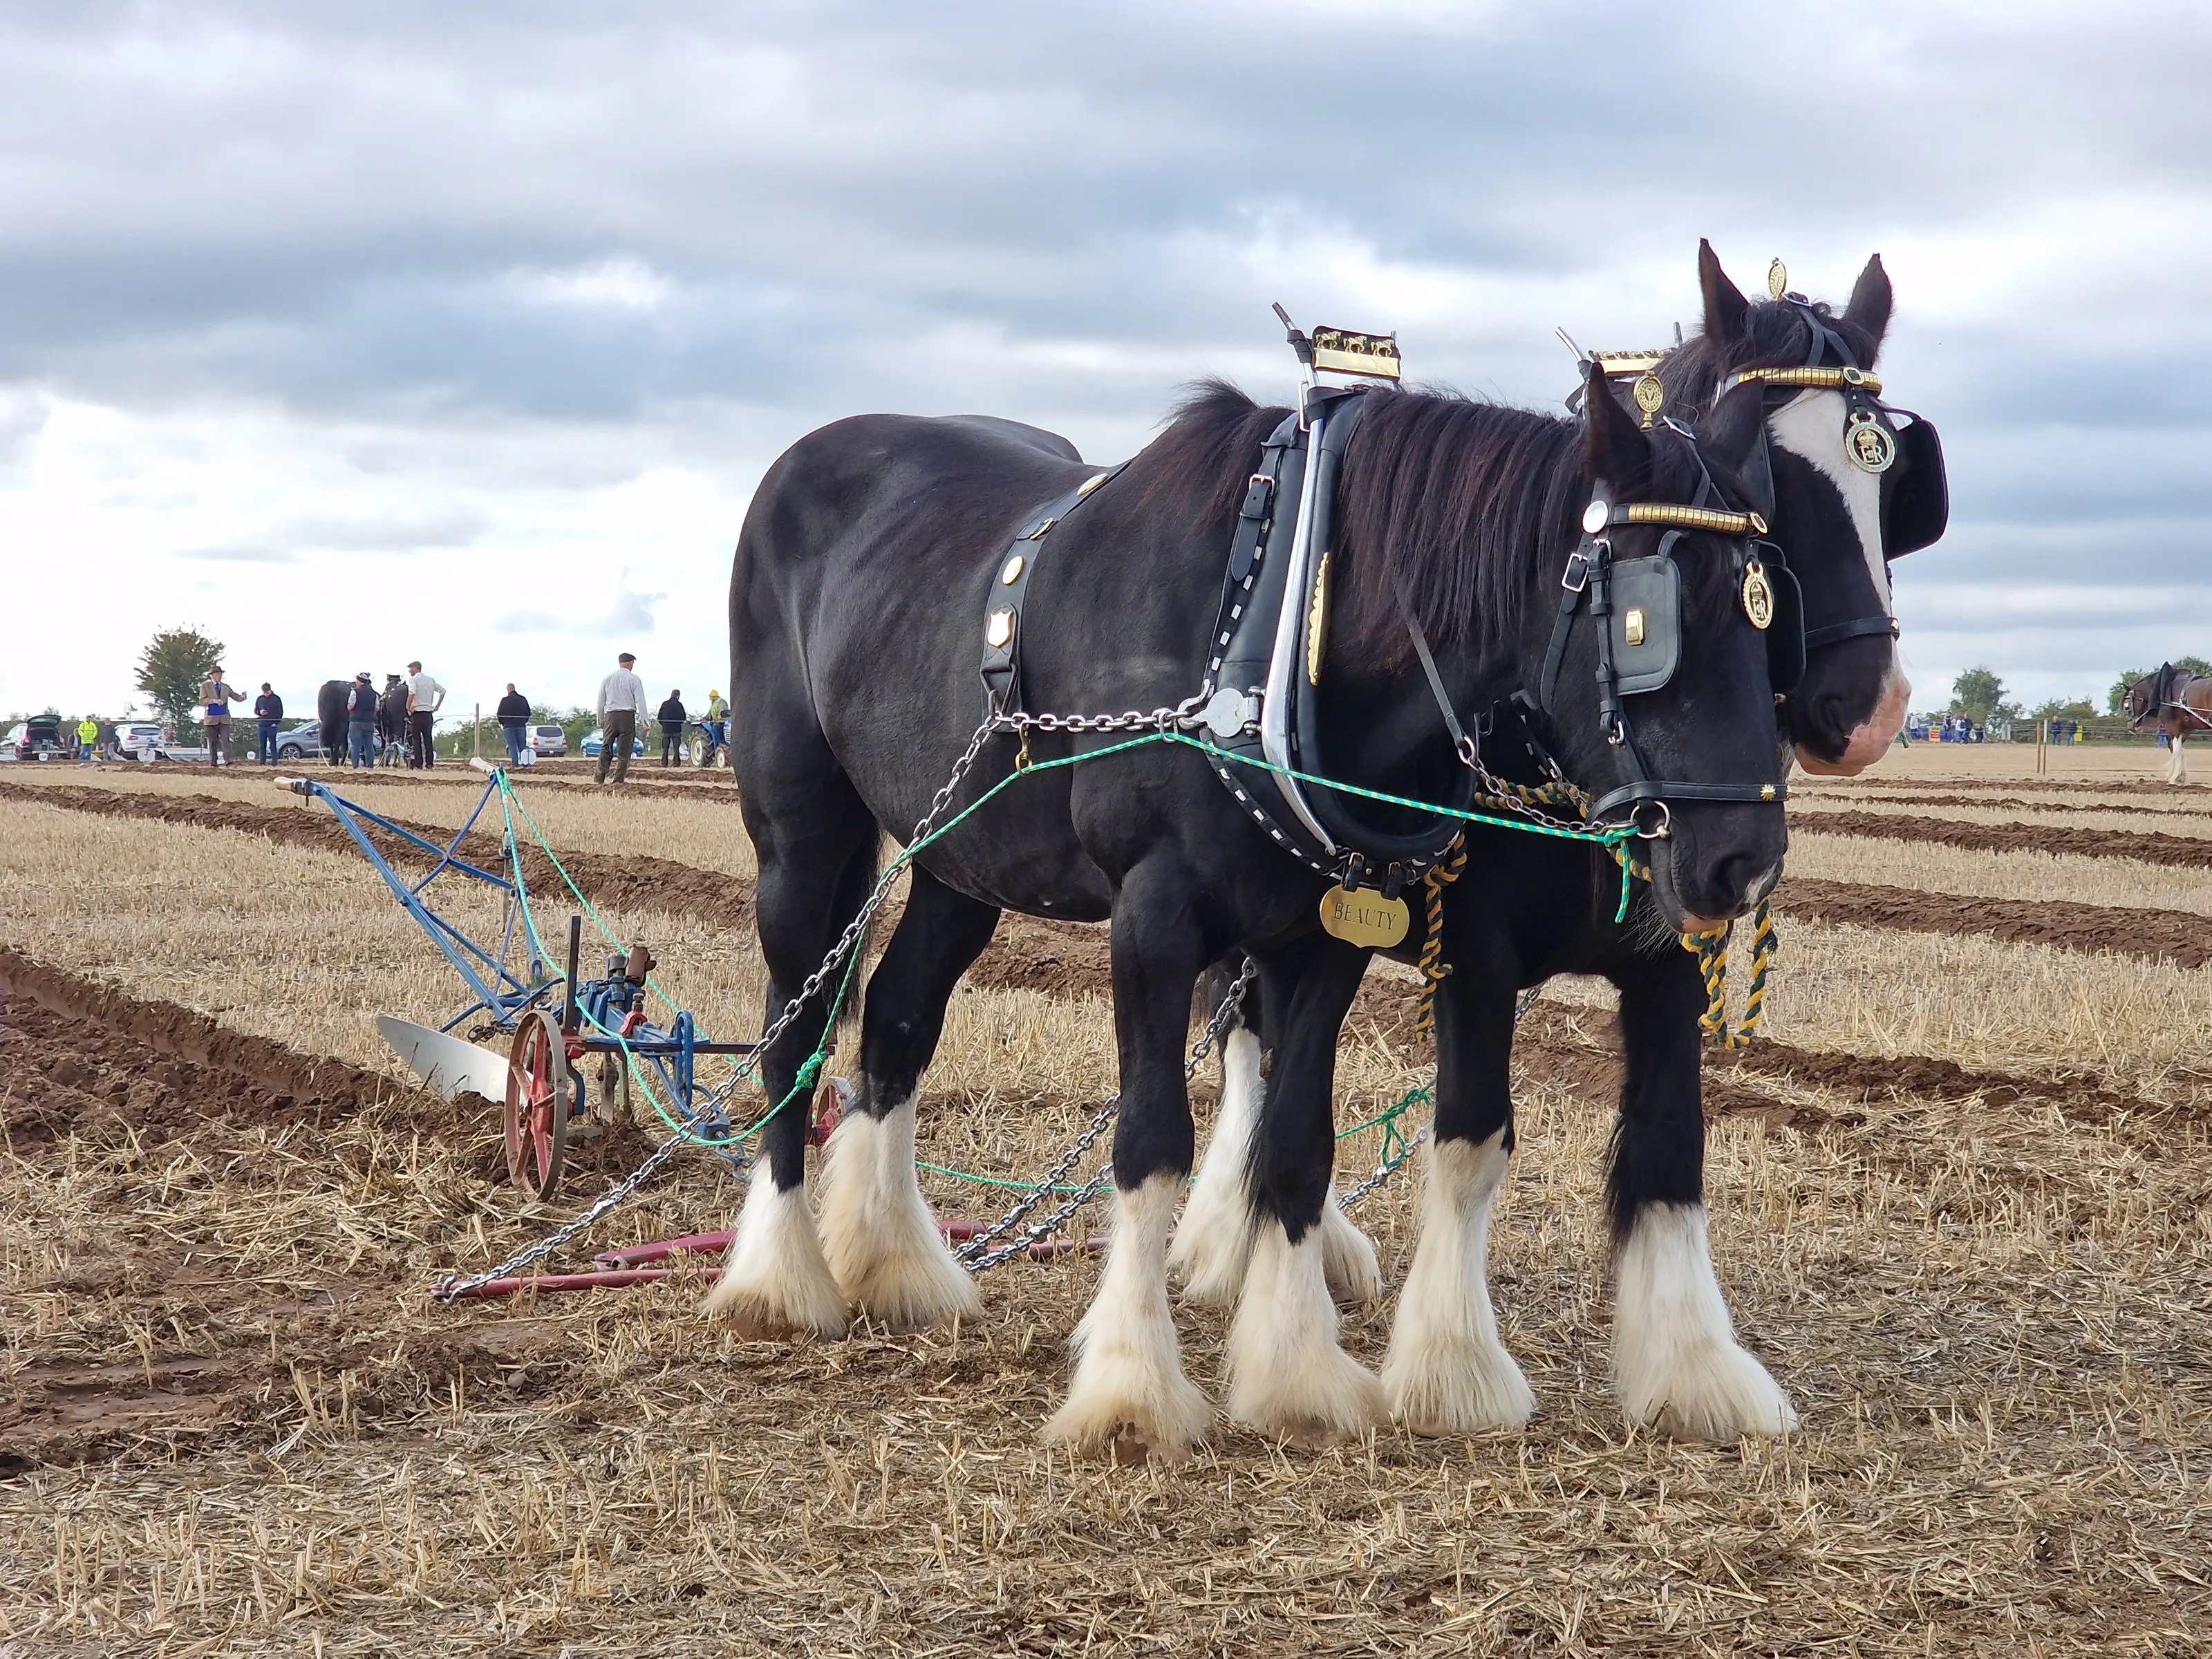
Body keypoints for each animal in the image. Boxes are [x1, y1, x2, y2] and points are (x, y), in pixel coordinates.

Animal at [712, 356, 1789, 1457]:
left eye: (1767, 611)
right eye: (1649, 620)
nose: (1743, 862)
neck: (1274, 614)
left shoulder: (1327, 936)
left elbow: (1299, 1144)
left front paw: (1295, 1374)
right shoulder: (1158, 920)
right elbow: (1151, 1145)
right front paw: (1133, 1390)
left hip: (961, 863)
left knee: (896, 1018)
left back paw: (895, 1264)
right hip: (800, 838)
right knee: (789, 1035)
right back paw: (780, 1277)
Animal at [1177, 245, 1944, 1443]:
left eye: (1892, 482)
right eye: (1775, 477)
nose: (1868, 711)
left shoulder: (1679, 950)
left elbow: (1673, 1139)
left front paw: (1692, 1364)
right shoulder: (1474, 955)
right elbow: (1471, 1138)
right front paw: (1451, 1365)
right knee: (1248, 1034)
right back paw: (1228, 1238)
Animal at [2125, 664, 2212, 784]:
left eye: (2127, 706)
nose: (2130, 727)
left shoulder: (2173, 726)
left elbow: (2177, 750)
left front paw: (2175, 778)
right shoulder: (2186, 729)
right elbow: (2179, 750)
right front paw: (2180, 777)